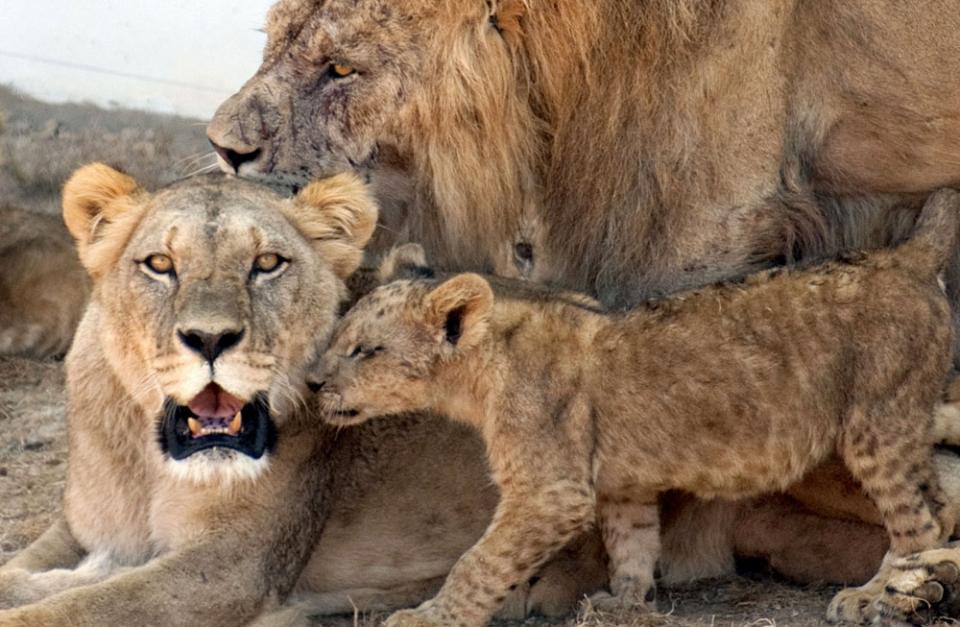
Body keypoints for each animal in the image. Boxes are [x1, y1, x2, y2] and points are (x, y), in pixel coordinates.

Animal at [312, 189, 956, 624]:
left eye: (365, 350)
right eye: (339, 337)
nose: (315, 383)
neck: (480, 374)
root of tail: (906, 256)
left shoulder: (551, 492)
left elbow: (480, 562)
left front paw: (429, 617)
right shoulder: (621, 483)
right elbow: (634, 542)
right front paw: (624, 602)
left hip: (876, 421)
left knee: (917, 522)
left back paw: (879, 597)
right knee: (939, 504)